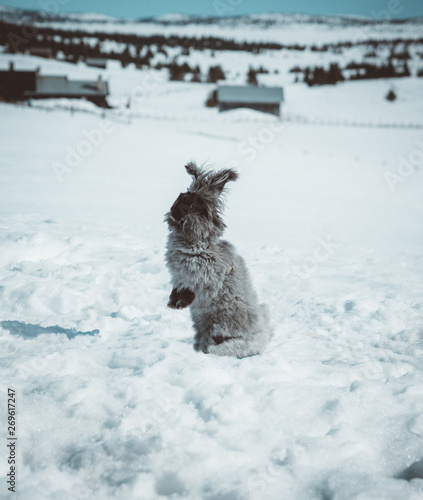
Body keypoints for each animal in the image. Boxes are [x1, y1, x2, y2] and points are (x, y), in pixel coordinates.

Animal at [164, 162, 274, 358]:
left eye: (194, 205)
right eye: (181, 196)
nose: (173, 211)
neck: (198, 244)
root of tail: (261, 340)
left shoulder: (201, 280)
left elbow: (191, 292)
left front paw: (179, 305)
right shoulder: (179, 279)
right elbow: (177, 290)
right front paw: (172, 304)